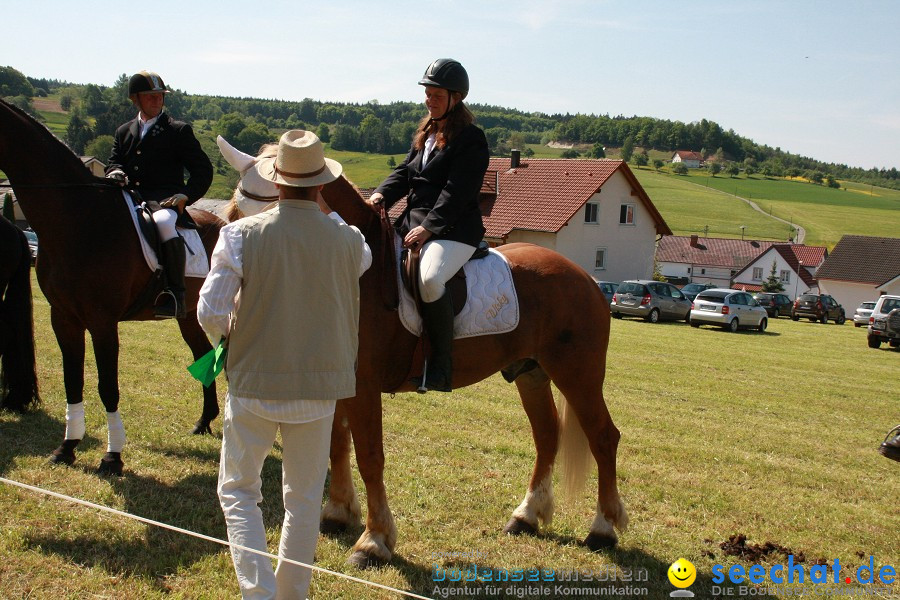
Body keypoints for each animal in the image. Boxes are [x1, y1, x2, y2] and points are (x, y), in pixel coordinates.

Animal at [0, 97, 223, 474]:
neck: (77, 217)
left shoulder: (102, 321)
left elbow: (108, 386)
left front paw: (112, 457)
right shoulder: (63, 317)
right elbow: (73, 381)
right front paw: (67, 447)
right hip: (189, 315)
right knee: (203, 354)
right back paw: (204, 422)